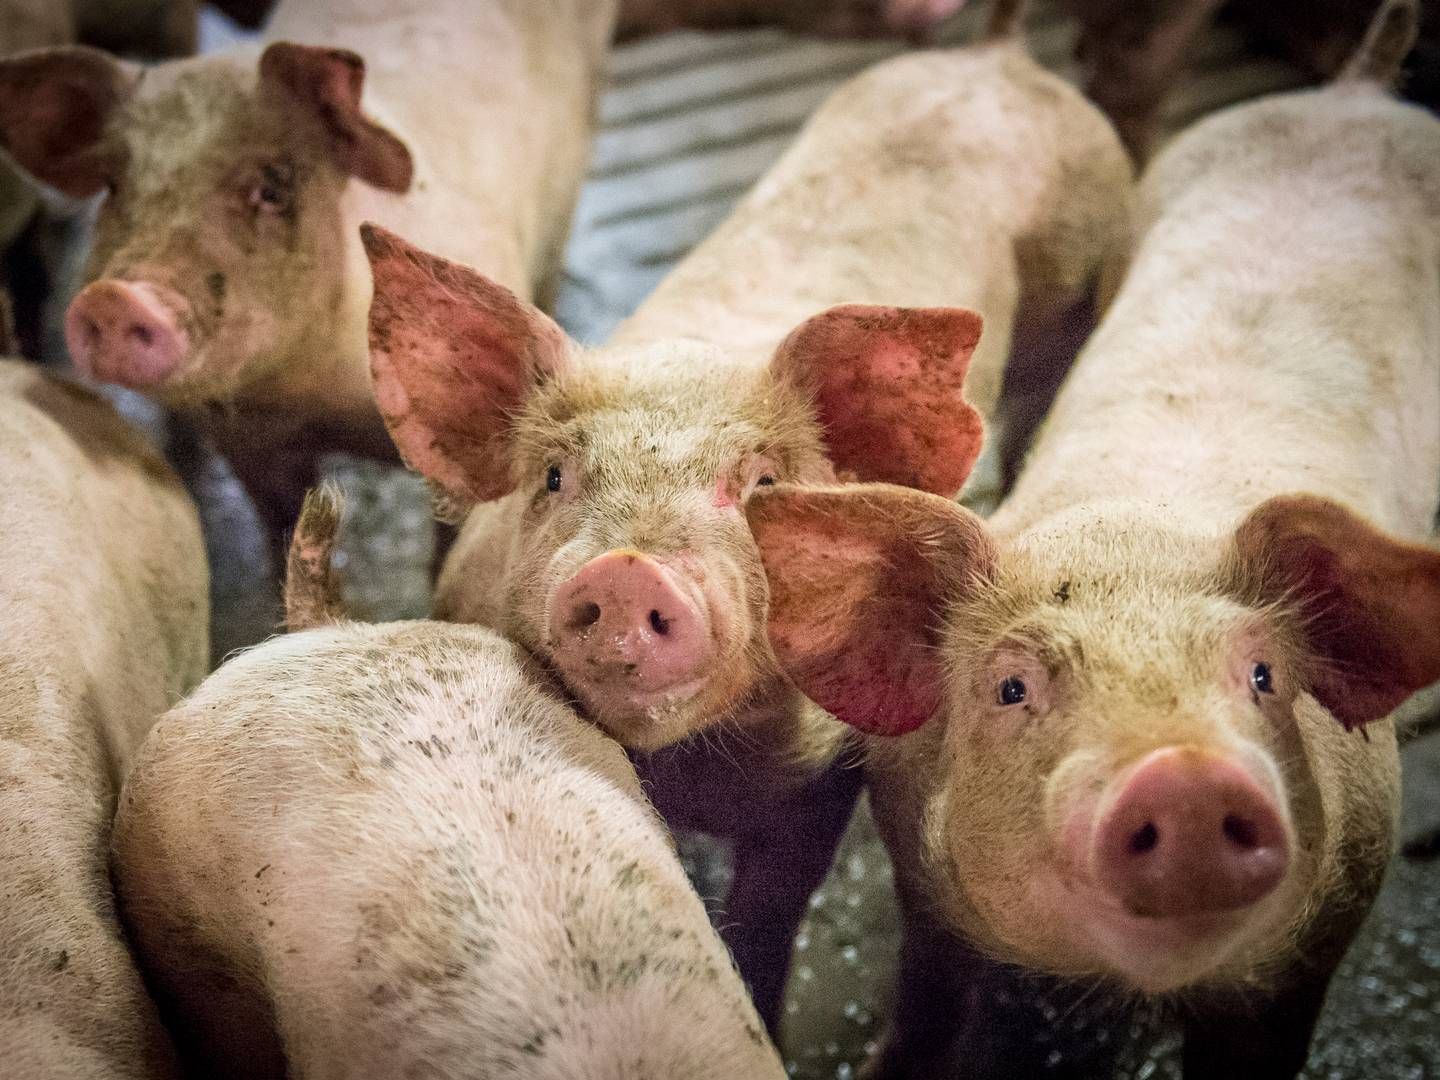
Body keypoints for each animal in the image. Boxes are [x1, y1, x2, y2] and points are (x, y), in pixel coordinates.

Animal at [0, 0, 613, 570]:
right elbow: (279, 522)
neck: (316, 394)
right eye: (113, 186)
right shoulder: (249, 439)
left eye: (272, 189)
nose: (116, 298)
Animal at [362, 0, 1134, 1036]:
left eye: (763, 482)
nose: (628, 568)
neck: (685, 774)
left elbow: (771, 917)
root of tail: (1000, 57)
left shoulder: (825, 773)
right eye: (555, 477)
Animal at [743, 4, 1440, 1077]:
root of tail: (1358, 90)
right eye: (1011, 686)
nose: (1184, 773)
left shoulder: (1318, 945)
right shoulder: (923, 879)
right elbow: (927, 999)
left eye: (1264, 675)